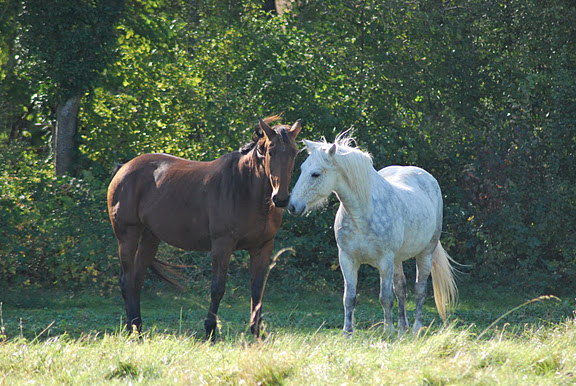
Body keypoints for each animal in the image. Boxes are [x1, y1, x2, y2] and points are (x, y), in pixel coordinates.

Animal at [106, 117, 302, 338]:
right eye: (270, 151)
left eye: (295, 152)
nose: (281, 198)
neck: (244, 186)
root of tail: (124, 168)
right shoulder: (222, 245)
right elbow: (217, 288)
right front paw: (210, 331)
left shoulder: (263, 247)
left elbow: (257, 290)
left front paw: (257, 332)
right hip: (127, 235)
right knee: (126, 281)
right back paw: (131, 330)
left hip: (150, 237)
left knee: (136, 280)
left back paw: (138, 328)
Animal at [288, 137, 460, 336]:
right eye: (302, 169)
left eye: (315, 174)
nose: (292, 206)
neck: (362, 214)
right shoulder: (347, 259)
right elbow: (349, 298)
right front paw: (348, 333)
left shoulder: (384, 261)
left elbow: (385, 298)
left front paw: (388, 331)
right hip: (397, 259)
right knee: (401, 289)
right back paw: (403, 329)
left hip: (425, 253)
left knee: (419, 290)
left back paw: (415, 329)